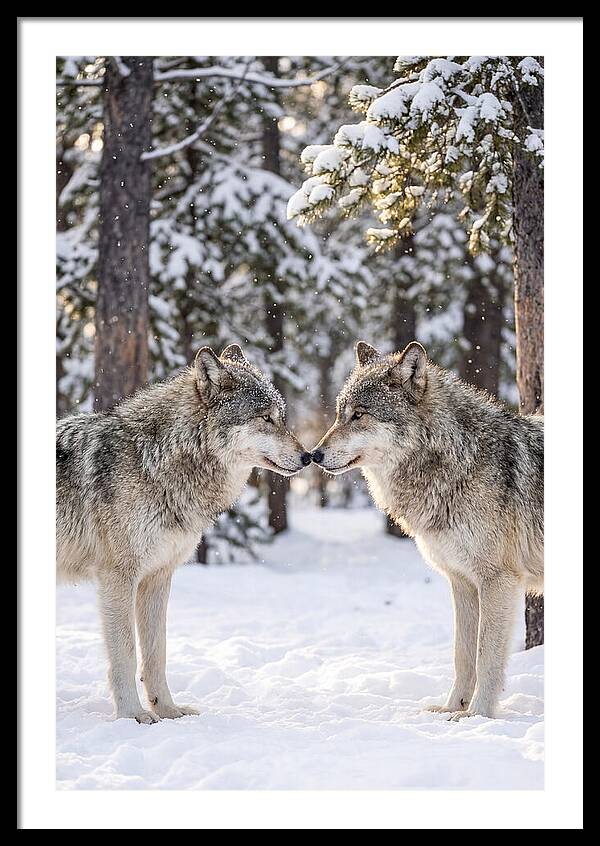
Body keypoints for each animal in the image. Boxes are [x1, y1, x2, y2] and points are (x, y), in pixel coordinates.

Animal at [57, 344, 311, 723]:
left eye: (281, 417)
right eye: (265, 418)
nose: (309, 456)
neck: (155, 462)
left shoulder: (158, 576)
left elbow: (156, 652)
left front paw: (168, 709)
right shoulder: (118, 577)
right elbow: (126, 652)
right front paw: (133, 715)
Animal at [312, 341, 544, 719]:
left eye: (359, 415)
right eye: (339, 415)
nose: (313, 455)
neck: (457, 461)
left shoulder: (499, 581)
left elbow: (486, 657)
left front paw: (477, 715)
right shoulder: (462, 582)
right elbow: (462, 655)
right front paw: (451, 708)